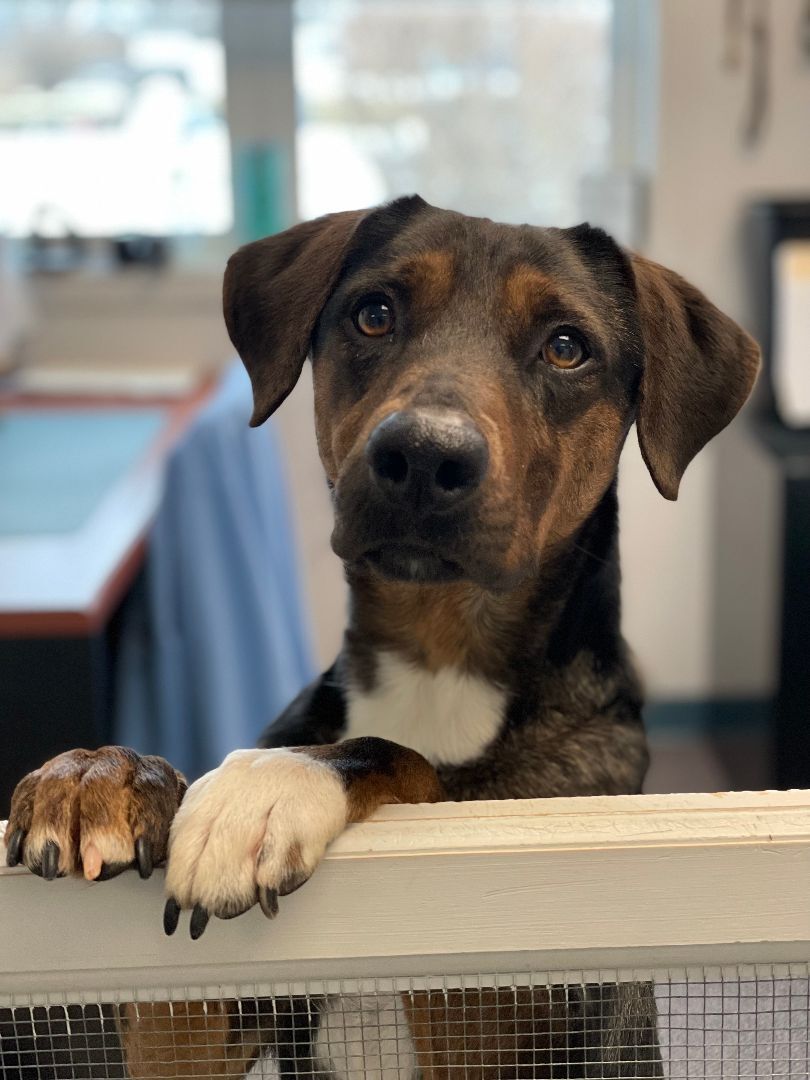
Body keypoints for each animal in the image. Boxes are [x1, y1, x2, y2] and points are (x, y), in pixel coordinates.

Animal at [4, 198, 760, 1075]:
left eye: (567, 346)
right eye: (375, 314)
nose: (425, 455)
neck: (436, 654)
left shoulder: (512, 983)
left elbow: (409, 763)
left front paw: (277, 783)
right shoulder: (194, 1028)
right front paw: (106, 773)